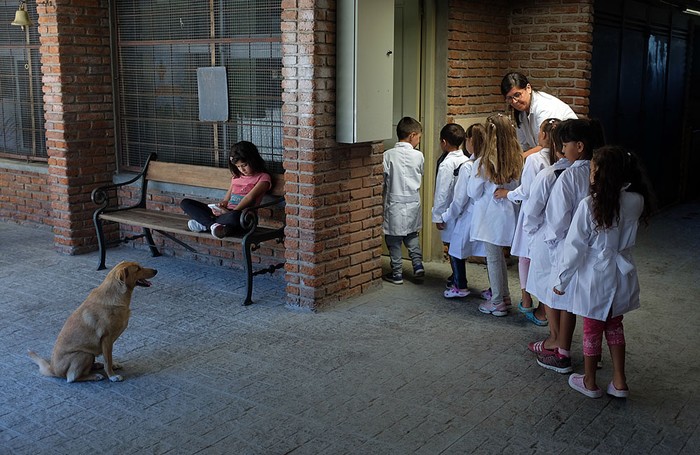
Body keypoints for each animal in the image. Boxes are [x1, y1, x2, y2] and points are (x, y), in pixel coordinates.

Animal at [28, 262, 157, 382]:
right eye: (138, 269)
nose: (156, 270)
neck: (115, 294)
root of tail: (53, 369)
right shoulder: (106, 338)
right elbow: (107, 360)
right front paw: (112, 376)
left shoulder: (109, 342)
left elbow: (109, 358)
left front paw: (113, 365)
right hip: (84, 355)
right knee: (72, 378)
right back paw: (95, 376)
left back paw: (96, 365)